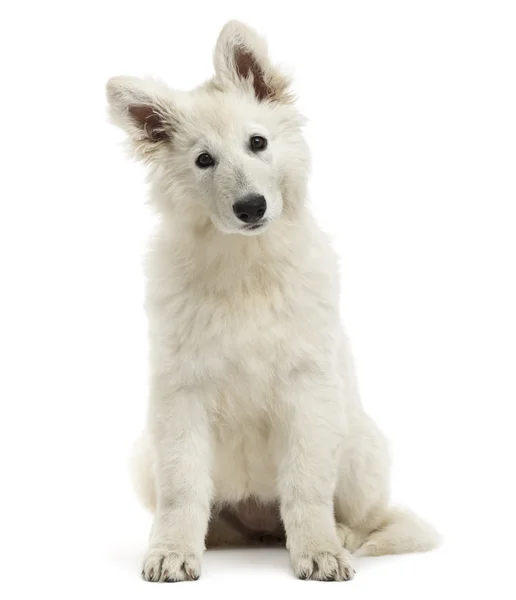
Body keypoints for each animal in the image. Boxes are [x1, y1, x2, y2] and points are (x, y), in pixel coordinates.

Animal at [107, 21, 438, 584]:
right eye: (204, 160)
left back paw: (345, 535)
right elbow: (182, 489)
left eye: (257, 143)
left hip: (359, 447)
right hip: (141, 457)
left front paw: (320, 551)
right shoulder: (179, 394)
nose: (251, 207)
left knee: (373, 518)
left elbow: (307, 487)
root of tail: (260, 523)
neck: (246, 266)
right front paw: (172, 551)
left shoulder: (308, 389)